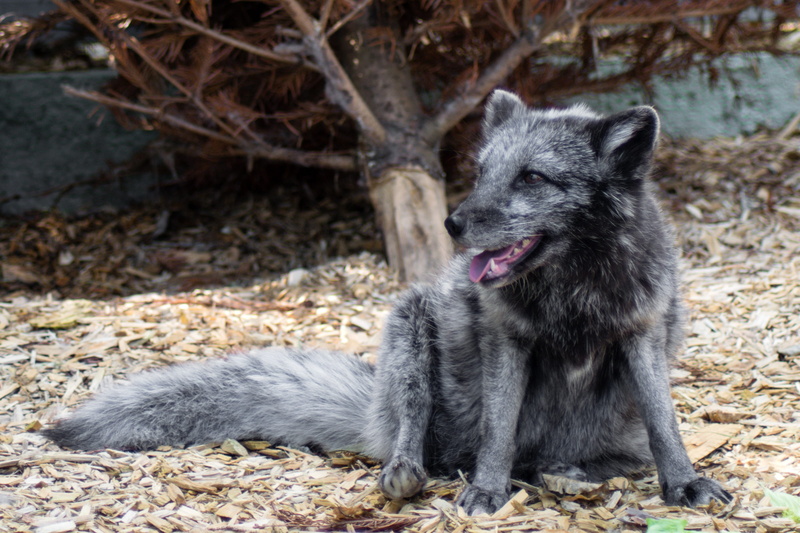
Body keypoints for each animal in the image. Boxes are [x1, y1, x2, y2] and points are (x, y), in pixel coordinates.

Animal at [44, 89, 732, 515]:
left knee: (582, 459)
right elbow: (499, 432)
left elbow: (667, 427)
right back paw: (411, 472)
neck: (574, 288)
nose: (453, 224)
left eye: (532, 177)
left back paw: (572, 473)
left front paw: (685, 483)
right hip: (410, 329)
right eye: (481, 173)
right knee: (421, 435)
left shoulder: (640, 335)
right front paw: (486, 493)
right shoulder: (507, 343)